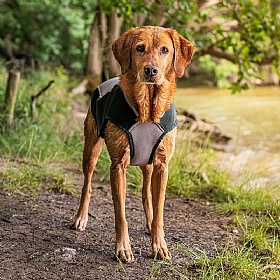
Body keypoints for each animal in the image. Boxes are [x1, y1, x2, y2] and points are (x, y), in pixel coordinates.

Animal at [72, 26, 194, 262]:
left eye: (165, 50)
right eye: (140, 48)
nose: (151, 70)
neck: (147, 110)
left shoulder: (162, 165)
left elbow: (159, 212)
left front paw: (159, 245)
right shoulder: (118, 165)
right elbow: (121, 214)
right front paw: (122, 248)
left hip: (148, 163)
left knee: (147, 195)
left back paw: (148, 222)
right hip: (91, 148)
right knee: (87, 185)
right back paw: (80, 217)